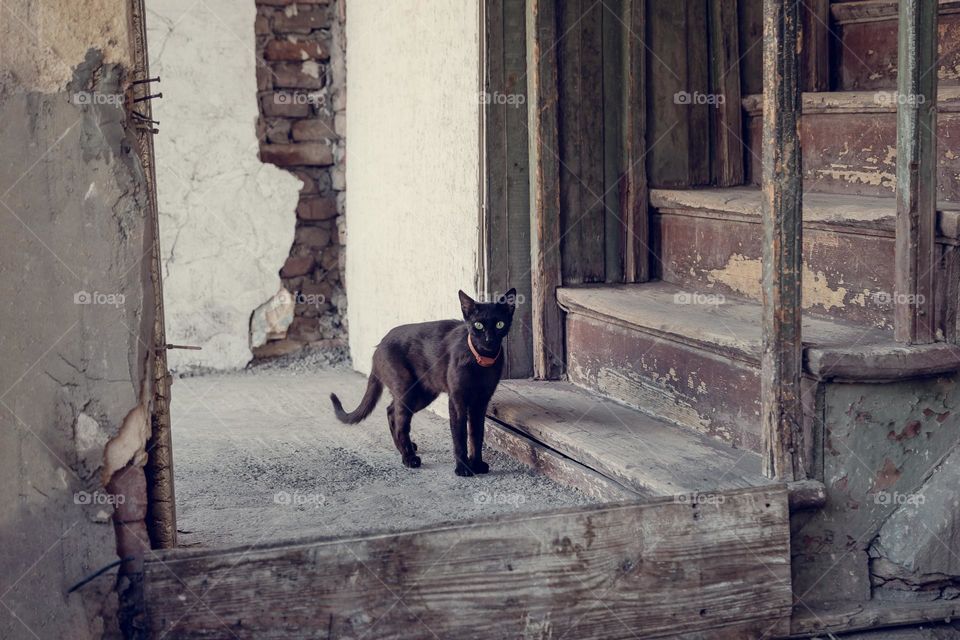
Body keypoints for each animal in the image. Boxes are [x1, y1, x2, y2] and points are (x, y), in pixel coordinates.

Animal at [332, 290, 516, 476]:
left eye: (499, 324)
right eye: (478, 325)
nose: (488, 339)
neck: (481, 361)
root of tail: (379, 345)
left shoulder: (481, 401)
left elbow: (476, 435)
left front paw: (477, 464)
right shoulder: (457, 400)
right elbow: (460, 435)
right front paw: (463, 468)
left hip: (423, 393)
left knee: (391, 411)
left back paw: (405, 449)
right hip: (407, 389)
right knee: (400, 423)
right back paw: (409, 458)